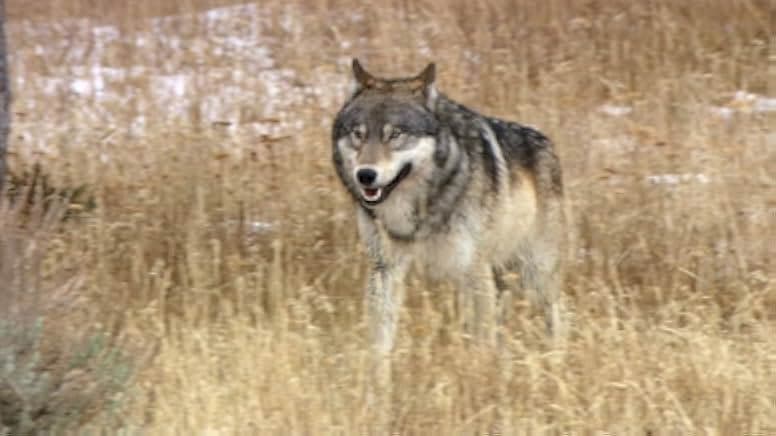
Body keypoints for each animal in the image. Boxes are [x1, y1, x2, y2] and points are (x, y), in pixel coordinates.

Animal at [332, 59, 566, 357]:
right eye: (358, 134)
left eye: (396, 134)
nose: (365, 175)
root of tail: (546, 141)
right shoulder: (385, 267)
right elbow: (381, 339)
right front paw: (377, 370)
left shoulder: (474, 270)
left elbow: (482, 342)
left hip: (536, 273)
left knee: (558, 315)